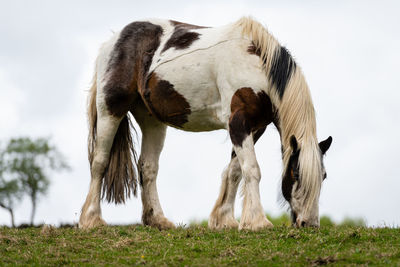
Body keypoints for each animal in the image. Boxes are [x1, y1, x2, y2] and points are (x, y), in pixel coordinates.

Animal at [78, 16, 332, 231]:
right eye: (296, 174)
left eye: (324, 175)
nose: (309, 223)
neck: (256, 64)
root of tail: (113, 41)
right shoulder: (238, 122)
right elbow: (252, 169)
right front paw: (258, 222)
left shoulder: (254, 128)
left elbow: (235, 171)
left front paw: (225, 219)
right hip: (110, 109)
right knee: (99, 162)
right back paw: (91, 220)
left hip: (152, 121)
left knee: (147, 168)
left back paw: (157, 220)